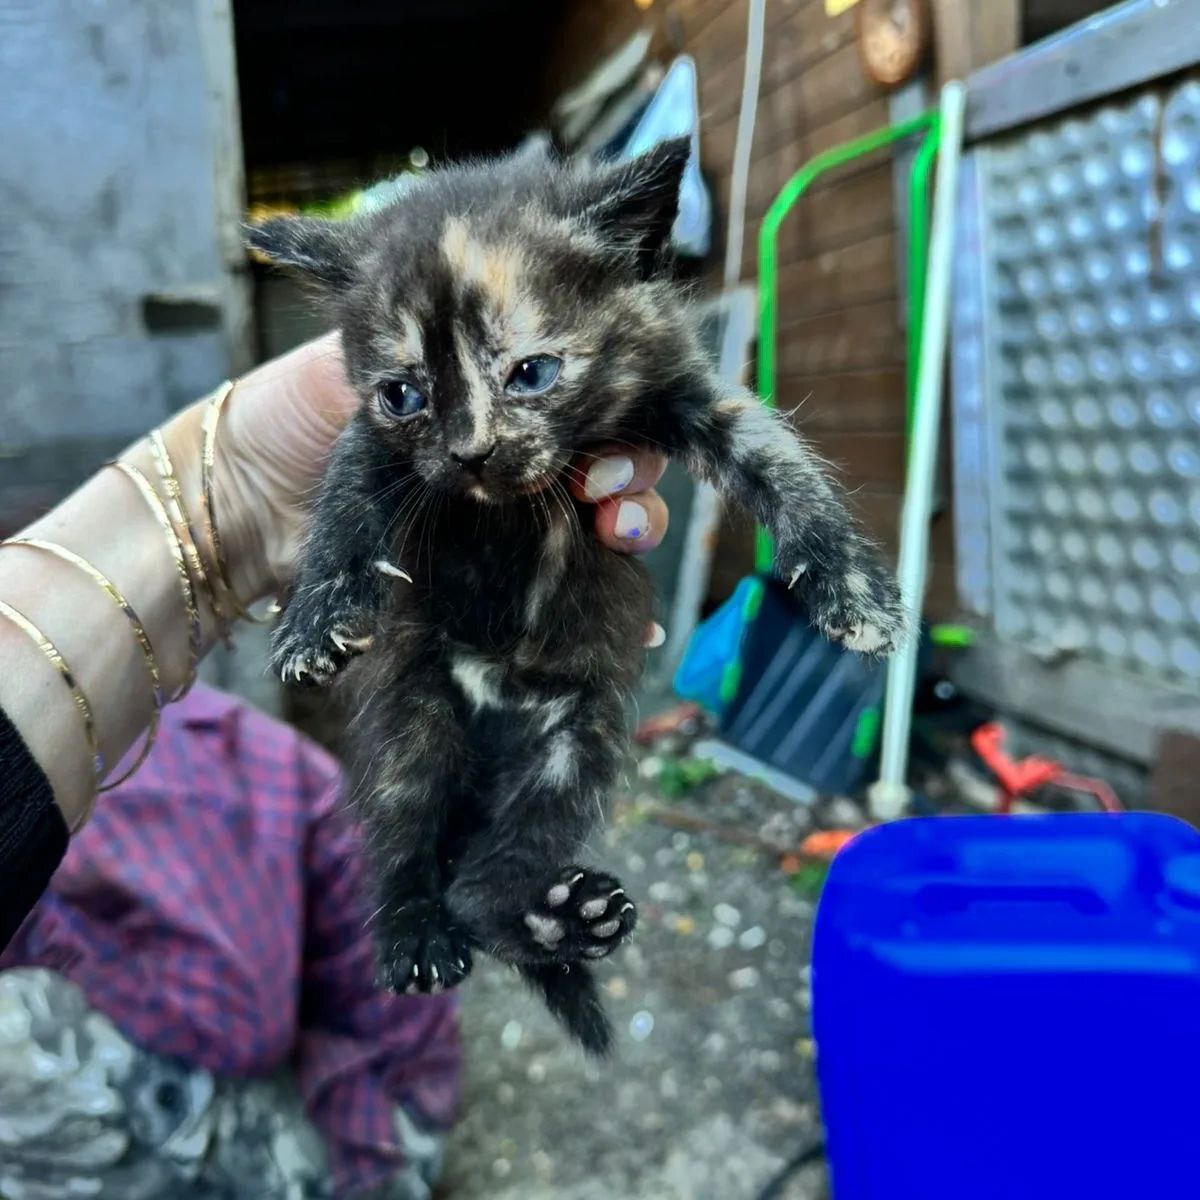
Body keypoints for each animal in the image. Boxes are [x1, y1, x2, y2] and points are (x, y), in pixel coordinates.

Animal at [253, 138, 907, 1051]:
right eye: (404, 394)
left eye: (531, 374)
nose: (468, 453)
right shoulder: (371, 439)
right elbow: (344, 499)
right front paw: (314, 618)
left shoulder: (688, 390)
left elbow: (779, 460)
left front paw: (852, 587)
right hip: (416, 716)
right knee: (408, 832)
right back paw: (416, 932)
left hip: (576, 742)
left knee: (487, 882)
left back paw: (559, 919)